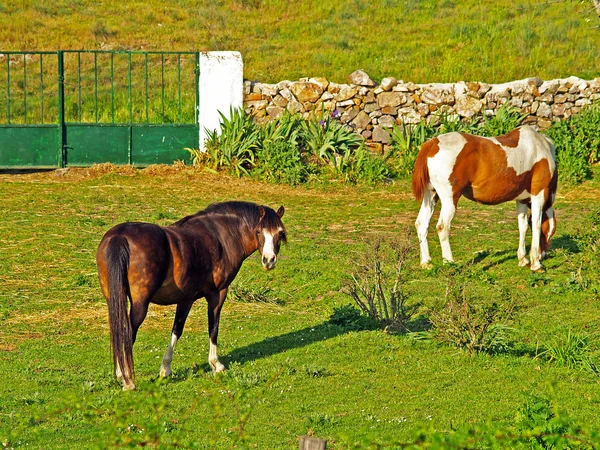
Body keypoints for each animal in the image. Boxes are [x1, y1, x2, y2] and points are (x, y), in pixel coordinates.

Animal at [96, 201, 286, 390]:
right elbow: (213, 328)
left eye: (279, 233)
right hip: (140, 304)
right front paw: (216, 364)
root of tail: (120, 236)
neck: (222, 235)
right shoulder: (218, 294)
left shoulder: (186, 299)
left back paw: (121, 374)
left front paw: (166, 368)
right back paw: (128, 379)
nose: (269, 260)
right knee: (127, 333)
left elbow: (177, 329)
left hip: (113, 299)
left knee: (117, 331)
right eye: (259, 231)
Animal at [412, 124, 556, 270]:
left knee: (422, 224)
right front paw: (536, 263)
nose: (543, 255)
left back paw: (426, 262)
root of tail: (432, 144)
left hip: (431, 196)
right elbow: (536, 224)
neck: (540, 147)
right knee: (443, 227)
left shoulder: (521, 199)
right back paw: (449, 262)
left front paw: (523, 259)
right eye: (548, 232)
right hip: (449, 199)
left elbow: (523, 226)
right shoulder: (538, 195)